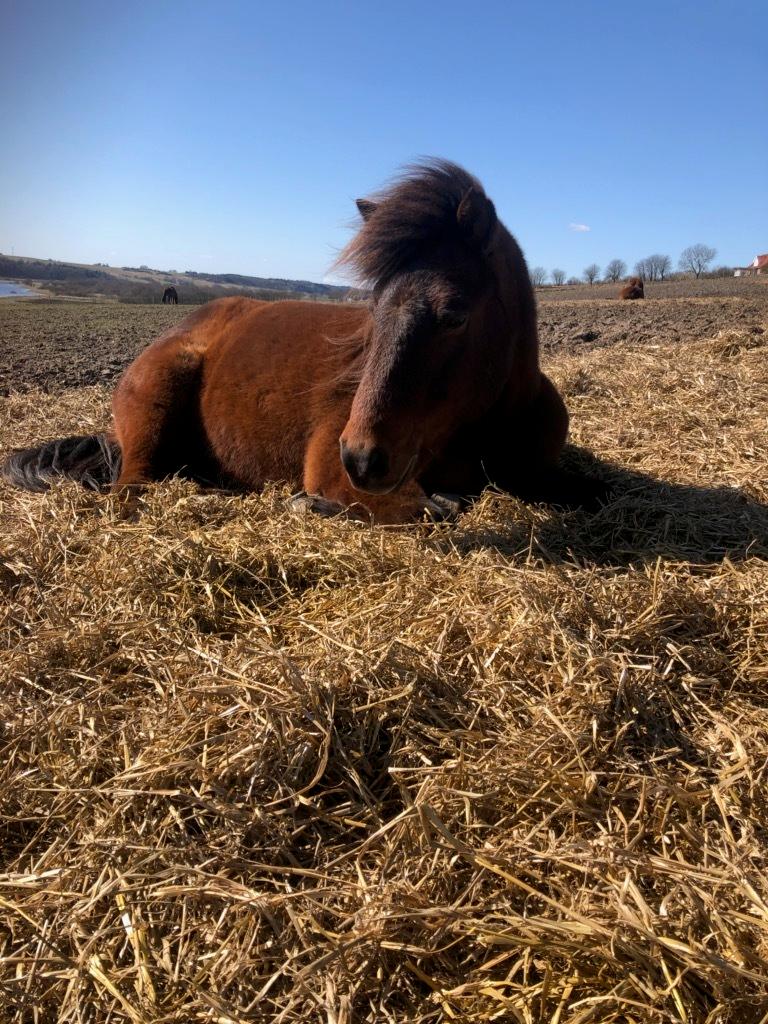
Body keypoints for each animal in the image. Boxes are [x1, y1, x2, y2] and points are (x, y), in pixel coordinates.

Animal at [1, 164, 602, 528]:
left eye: (453, 315)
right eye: (374, 308)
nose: (360, 457)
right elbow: (436, 508)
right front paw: (307, 503)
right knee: (134, 487)